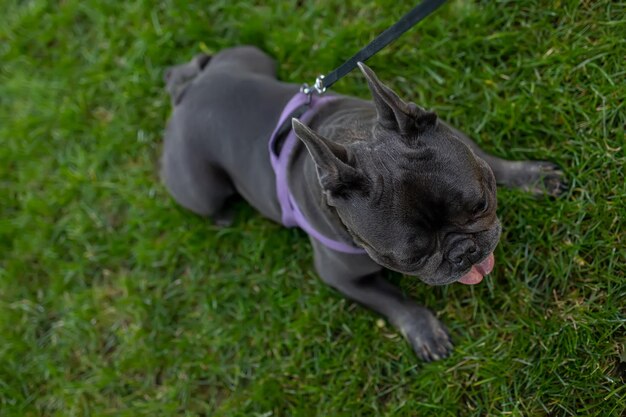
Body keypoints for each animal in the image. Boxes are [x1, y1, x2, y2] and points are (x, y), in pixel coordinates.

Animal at [158, 44, 564, 358]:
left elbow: (491, 160)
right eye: (411, 258)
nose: (464, 252)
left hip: (250, 56)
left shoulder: (460, 139)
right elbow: (394, 300)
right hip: (199, 189)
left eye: (481, 204)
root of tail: (189, 95)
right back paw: (224, 215)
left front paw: (532, 177)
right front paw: (425, 331)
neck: (350, 134)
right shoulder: (342, 277)